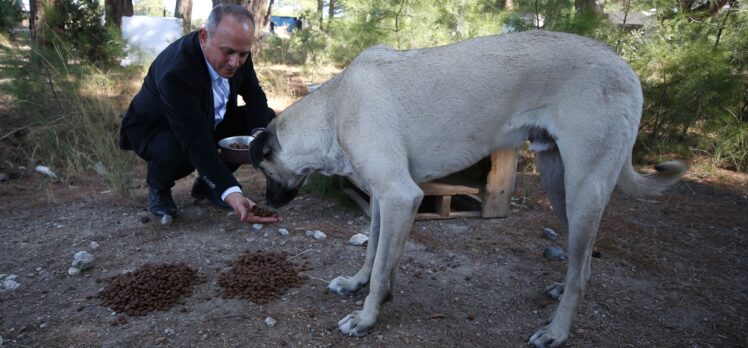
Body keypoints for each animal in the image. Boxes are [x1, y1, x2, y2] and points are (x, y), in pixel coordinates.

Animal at [251, 30, 684, 348]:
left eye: (265, 171)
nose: (270, 203)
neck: (335, 108)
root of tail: (625, 67)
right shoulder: (382, 200)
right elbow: (375, 255)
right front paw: (358, 284)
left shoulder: (399, 196)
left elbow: (380, 270)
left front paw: (367, 316)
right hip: (559, 183)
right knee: (583, 264)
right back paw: (562, 291)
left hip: (583, 189)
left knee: (582, 271)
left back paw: (556, 331)